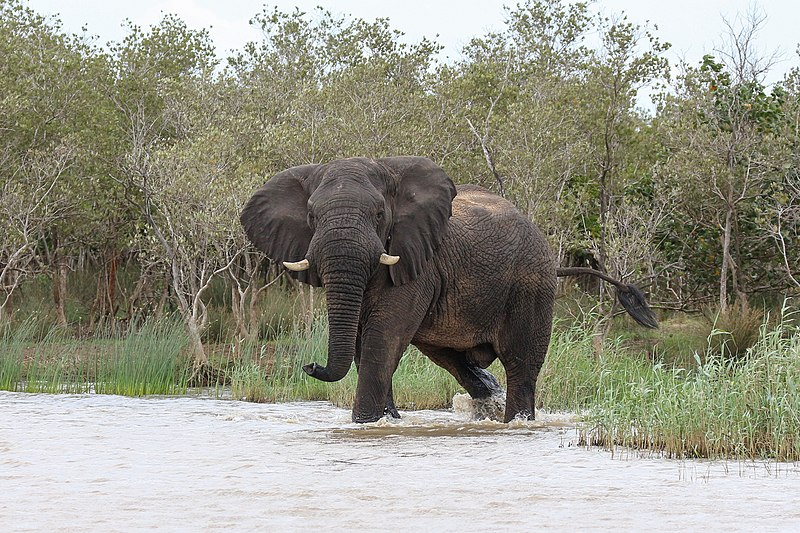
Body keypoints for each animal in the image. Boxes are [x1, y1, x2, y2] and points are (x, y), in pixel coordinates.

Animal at [239, 156, 656, 422]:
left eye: (379, 214)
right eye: (311, 216)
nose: (309, 365)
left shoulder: (419, 263)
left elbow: (380, 341)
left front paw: (366, 425)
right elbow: (365, 345)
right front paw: (387, 421)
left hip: (532, 284)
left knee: (521, 365)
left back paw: (515, 421)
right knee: (454, 360)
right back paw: (486, 401)